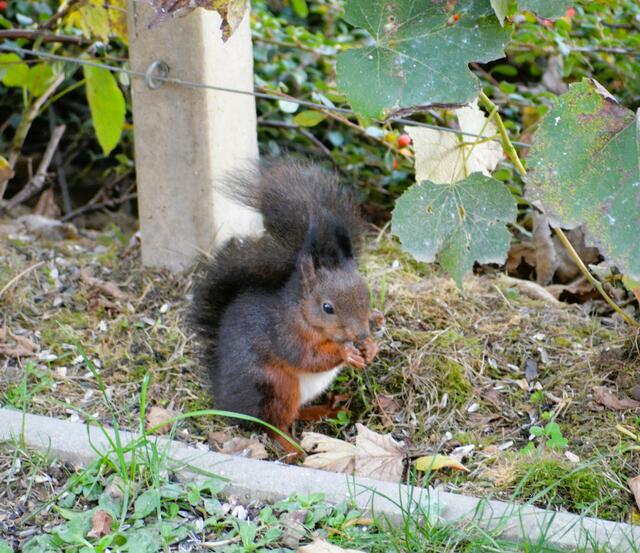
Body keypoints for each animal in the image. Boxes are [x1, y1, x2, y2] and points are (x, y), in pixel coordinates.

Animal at [190, 157, 382, 456]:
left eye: (366, 294)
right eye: (327, 307)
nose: (361, 334)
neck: (301, 314)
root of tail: (227, 402)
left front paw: (371, 346)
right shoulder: (283, 334)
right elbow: (306, 357)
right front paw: (345, 352)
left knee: (295, 413)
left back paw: (325, 408)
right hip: (275, 386)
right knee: (272, 423)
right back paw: (291, 446)